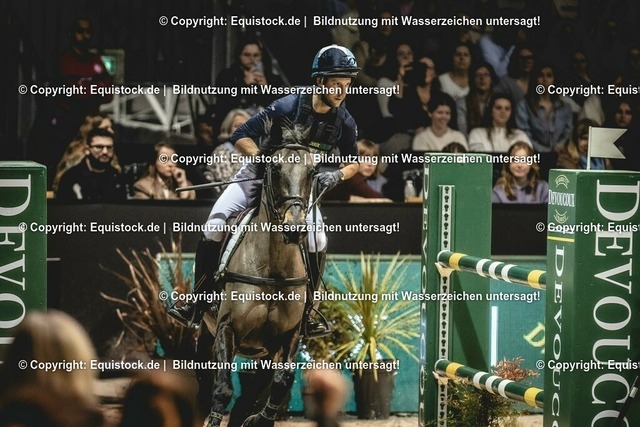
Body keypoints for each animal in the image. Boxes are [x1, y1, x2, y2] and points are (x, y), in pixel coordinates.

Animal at [197, 139, 317, 427]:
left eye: (312, 173)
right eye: (275, 169)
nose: (294, 228)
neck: (273, 267)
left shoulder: (288, 334)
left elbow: (282, 380)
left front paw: (259, 419)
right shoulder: (226, 327)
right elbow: (222, 387)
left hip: (264, 352)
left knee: (252, 391)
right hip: (205, 332)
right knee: (203, 380)